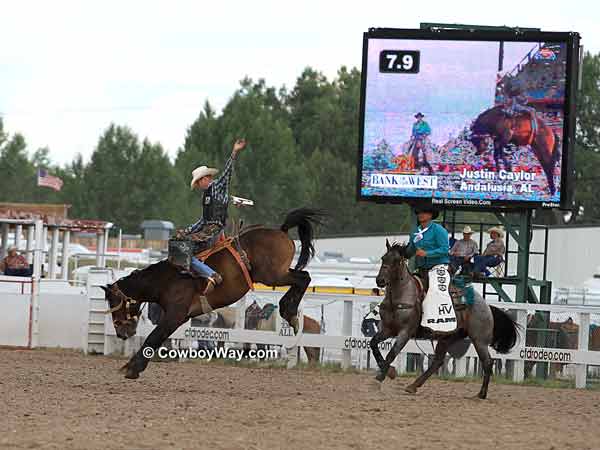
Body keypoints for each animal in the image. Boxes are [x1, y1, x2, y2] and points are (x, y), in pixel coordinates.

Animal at [102, 207, 324, 380]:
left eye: (115, 304)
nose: (121, 333)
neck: (167, 280)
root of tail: (281, 230)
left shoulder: (175, 315)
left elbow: (153, 338)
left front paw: (132, 368)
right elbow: (158, 338)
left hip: (273, 276)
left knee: (303, 278)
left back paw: (289, 312)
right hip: (278, 274)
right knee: (302, 277)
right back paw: (291, 314)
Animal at [368, 241, 516, 400]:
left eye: (396, 261)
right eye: (383, 258)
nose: (380, 280)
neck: (399, 296)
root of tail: (487, 305)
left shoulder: (405, 332)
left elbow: (392, 353)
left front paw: (381, 377)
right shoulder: (387, 329)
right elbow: (374, 344)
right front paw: (389, 371)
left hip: (479, 340)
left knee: (487, 362)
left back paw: (481, 394)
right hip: (448, 338)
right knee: (438, 362)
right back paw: (413, 386)